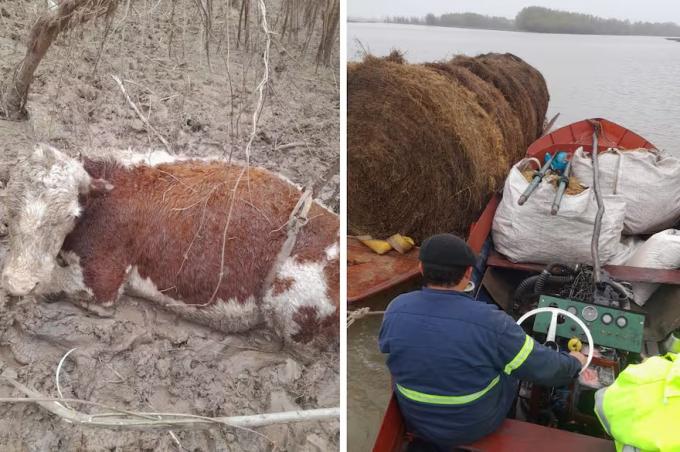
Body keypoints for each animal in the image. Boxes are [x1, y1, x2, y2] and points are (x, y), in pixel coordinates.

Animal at [0, 145, 340, 350]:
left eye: (69, 216)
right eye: (9, 210)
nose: (18, 281)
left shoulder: (102, 282)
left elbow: (52, 285)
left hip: (289, 299)